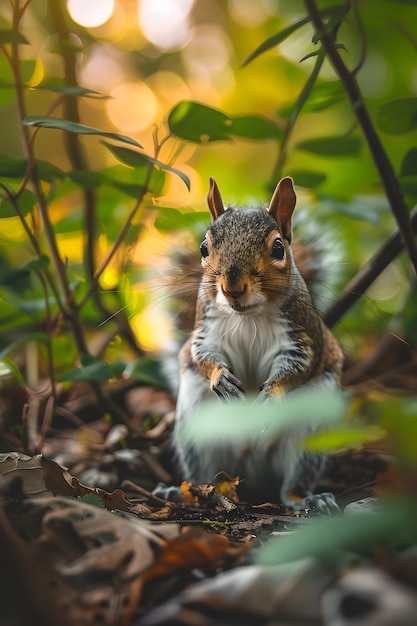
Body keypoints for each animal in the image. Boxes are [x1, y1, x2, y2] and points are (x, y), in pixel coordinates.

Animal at [167, 177, 344, 512]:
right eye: (204, 247)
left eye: (278, 247)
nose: (232, 287)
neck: (247, 315)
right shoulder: (205, 330)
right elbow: (201, 356)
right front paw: (221, 378)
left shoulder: (302, 336)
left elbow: (298, 365)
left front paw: (272, 393)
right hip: (196, 426)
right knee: (204, 474)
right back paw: (185, 492)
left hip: (311, 425)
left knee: (295, 478)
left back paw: (308, 498)